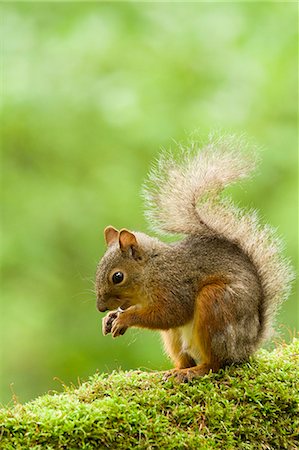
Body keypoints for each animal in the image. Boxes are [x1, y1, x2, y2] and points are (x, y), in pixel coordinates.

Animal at [95, 134, 294, 384]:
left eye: (117, 277)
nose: (100, 308)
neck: (152, 270)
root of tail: (247, 347)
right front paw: (110, 318)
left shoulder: (175, 287)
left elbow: (170, 314)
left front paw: (124, 319)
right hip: (175, 339)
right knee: (184, 357)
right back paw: (172, 371)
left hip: (216, 306)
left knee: (216, 364)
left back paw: (196, 371)